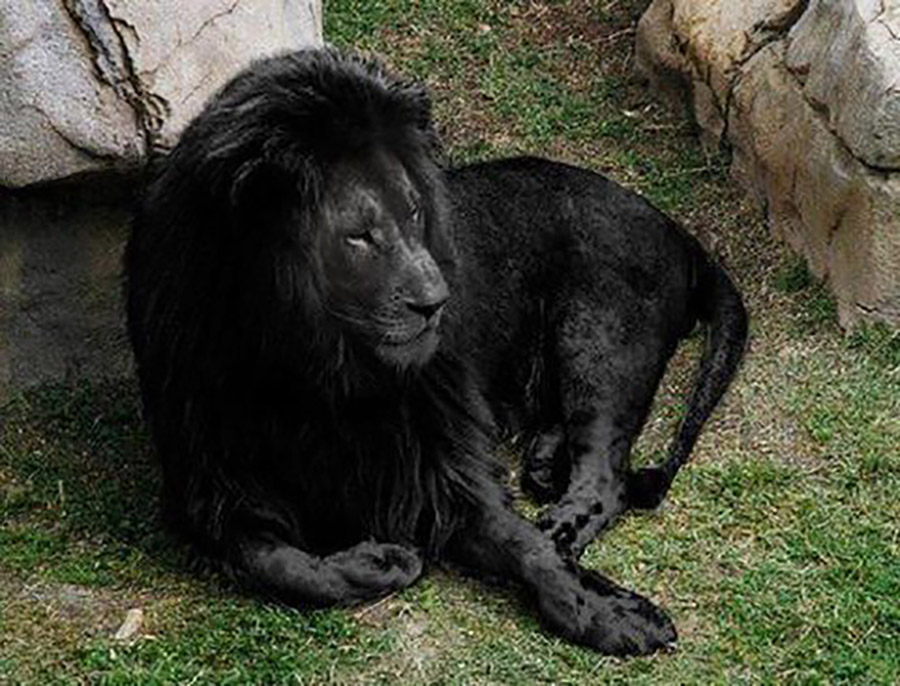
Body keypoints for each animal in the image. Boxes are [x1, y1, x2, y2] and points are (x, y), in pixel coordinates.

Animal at [124, 49, 747, 656]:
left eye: (416, 212)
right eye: (359, 235)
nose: (437, 302)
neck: (318, 372)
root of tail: (677, 229)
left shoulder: (440, 469)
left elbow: (526, 548)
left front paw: (610, 613)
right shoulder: (213, 485)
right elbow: (278, 564)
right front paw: (380, 563)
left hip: (600, 339)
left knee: (607, 479)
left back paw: (560, 523)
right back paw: (544, 461)